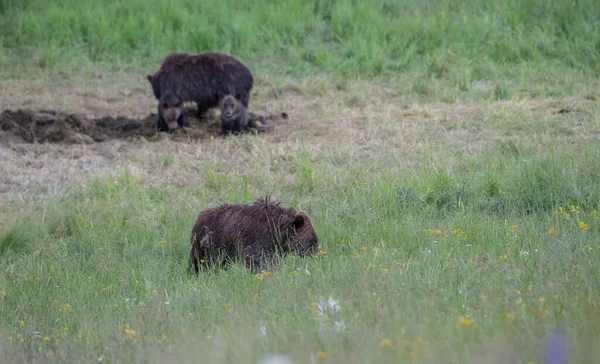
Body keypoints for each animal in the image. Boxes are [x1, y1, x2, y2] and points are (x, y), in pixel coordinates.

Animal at [190, 199, 322, 272]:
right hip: (208, 246)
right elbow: (258, 261)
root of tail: (198, 219)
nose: (319, 255)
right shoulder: (256, 242)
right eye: (313, 239)